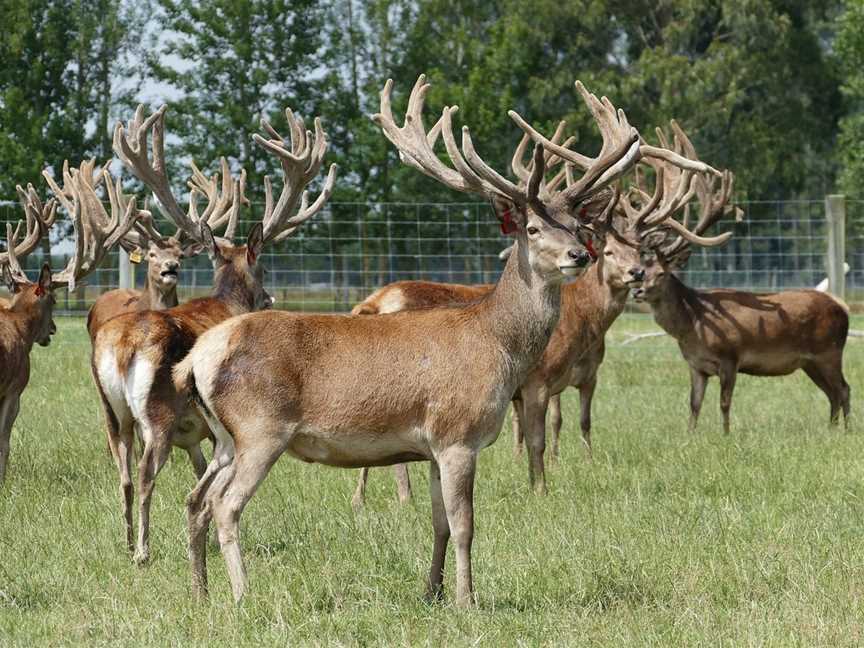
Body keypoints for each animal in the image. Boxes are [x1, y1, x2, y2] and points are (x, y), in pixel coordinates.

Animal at [90, 104, 334, 564]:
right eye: (263, 267)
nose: (271, 298)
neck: (227, 304)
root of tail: (122, 345)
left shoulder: (200, 434)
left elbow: (201, 478)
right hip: (158, 413)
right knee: (146, 473)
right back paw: (143, 551)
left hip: (112, 412)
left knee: (123, 473)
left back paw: (127, 541)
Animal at [177, 77, 660, 608]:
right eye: (532, 229)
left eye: (576, 227)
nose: (578, 255)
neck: (497, 345)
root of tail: (197, 358)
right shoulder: (457, 433)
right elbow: (466, 525)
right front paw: (468, 600)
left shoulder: (430, 448)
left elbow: (440, 525)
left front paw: (433, 591)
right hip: (261, 428)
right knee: (225, 504)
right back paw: (243, 594)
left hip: (226, 437)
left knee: (196, 499)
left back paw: (200, 592)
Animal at [628, 124, 852, 432]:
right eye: (640, 270)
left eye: (661, 274)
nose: (637, 291)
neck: (692, 326)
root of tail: (843, 308)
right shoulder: (696, 365)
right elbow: (693, 405)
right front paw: (690, 435)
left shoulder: (730, 357)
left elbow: (724, 404)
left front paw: (725, 435)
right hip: (811, 362)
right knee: (832, 393)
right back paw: (831, 429)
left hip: (829, 351)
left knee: (844, 389)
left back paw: (847, 430)